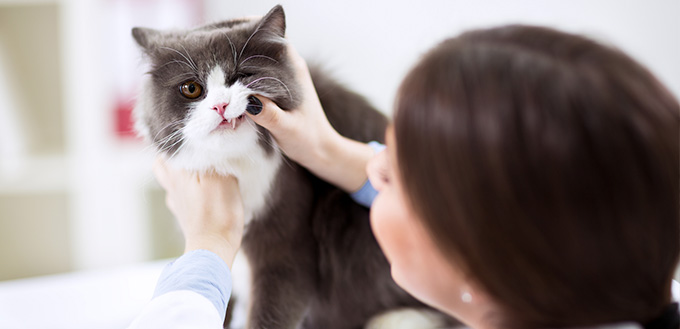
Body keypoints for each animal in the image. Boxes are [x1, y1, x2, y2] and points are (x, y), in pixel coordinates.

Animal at [131, 5, 456, 328]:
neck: (235, 167)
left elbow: (270, 311)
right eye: (191, 88)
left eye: (243, 76)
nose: (220, 106)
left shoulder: (285, 249)